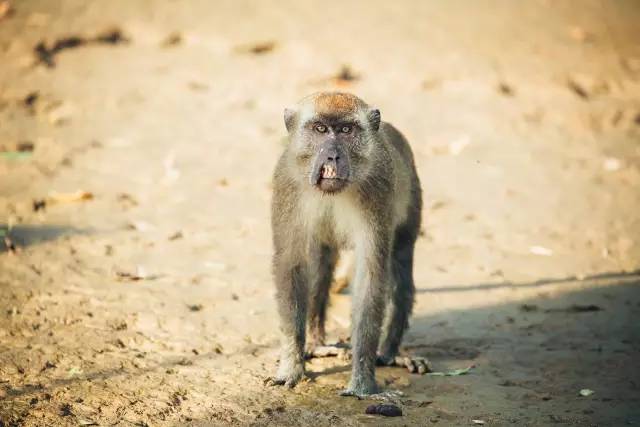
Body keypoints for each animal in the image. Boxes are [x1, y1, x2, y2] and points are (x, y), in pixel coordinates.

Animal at [266, 92, 424, 396]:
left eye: (346, 130)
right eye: (320, 129)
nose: (332, 154)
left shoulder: (378, 191)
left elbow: (370, 276)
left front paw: (363, 382)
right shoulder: (286, 183)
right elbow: (292, 265)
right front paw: (291, 365)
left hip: (412, 197)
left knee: (400, 267)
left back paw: (390, 353)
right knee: (320, 265)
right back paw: (316, 344)